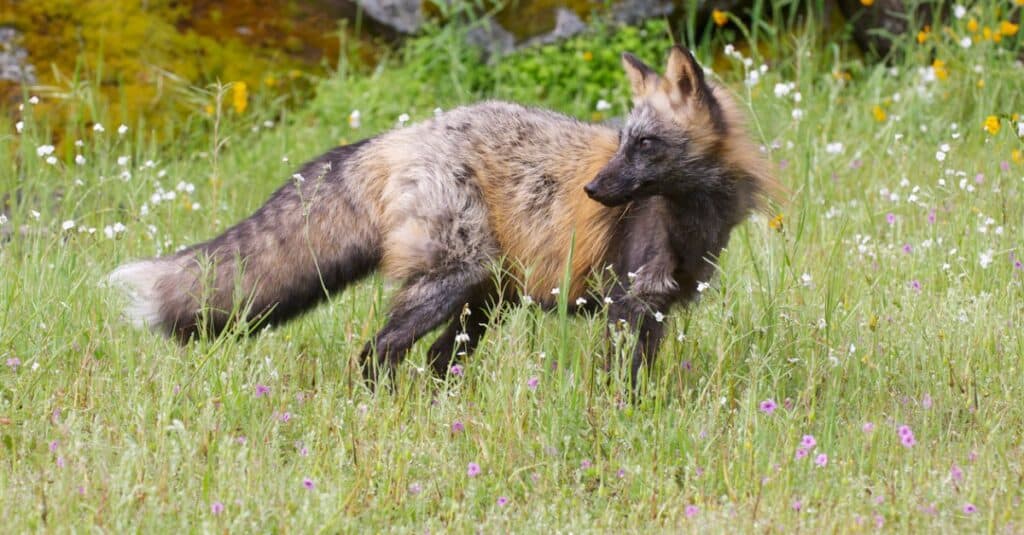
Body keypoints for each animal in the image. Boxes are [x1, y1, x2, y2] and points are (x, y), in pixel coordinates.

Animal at [108, 46, 778, 383]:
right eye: (625, 142)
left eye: (644, 145)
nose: (591, 190)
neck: (691, 219)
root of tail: (397, 136)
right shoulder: (630, 300)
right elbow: (620, 382)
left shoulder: (657, 307)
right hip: (451, 284)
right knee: (375, 354)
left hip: (481, 303)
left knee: (433, 363)